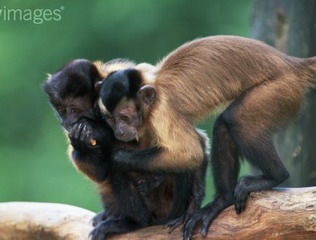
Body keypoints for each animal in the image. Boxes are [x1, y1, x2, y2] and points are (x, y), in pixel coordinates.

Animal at [42, 58, 210, 240]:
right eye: (62, 110)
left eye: (75, 110)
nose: (67, 122)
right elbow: (100, 172)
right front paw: (82, 142)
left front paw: (97, 131)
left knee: (121, 165)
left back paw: (133, 222)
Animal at [97, 36, 316, 240]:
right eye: (111, 120)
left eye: (124, 118)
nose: (119, 132)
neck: (152, 87)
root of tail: (293, 64)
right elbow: (199, 148)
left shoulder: (162, 110)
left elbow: (190, 154)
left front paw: (116, 158)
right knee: (223, 125)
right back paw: (223, 200)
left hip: (281, 89)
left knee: (236, 119)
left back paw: (275, 176)